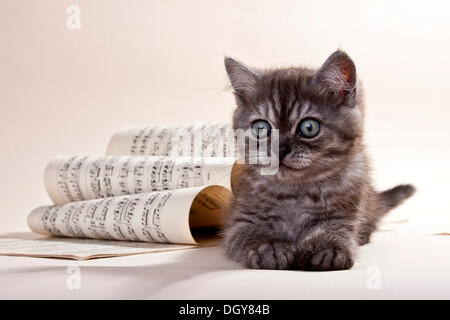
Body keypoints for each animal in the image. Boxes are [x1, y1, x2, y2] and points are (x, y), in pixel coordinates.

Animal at [223, 50, 416, 270]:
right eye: (261, 128)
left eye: (309, 127)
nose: (280, 150)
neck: (294, 191)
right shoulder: (240, 219)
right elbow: (248, 233)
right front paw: (270, 247)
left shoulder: (346, 212)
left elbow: (334, 228)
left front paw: (326, 247)